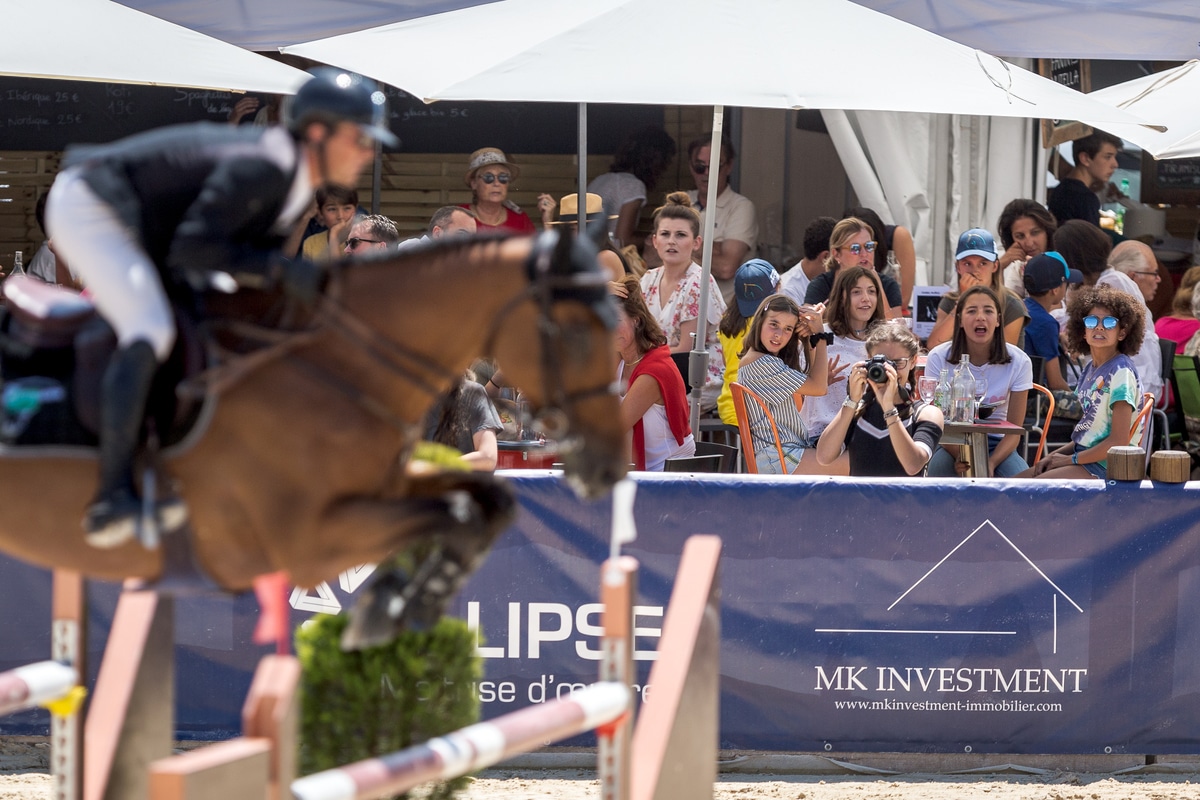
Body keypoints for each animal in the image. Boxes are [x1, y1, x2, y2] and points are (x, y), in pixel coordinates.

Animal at [0, 230, 628, 642]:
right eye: (575, 334)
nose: (609, 467)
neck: (335, 366)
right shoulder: (305, 540)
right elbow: (458, 510)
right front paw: (386, 605)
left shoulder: (385, 485)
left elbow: (486, 502)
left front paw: (403, 602)